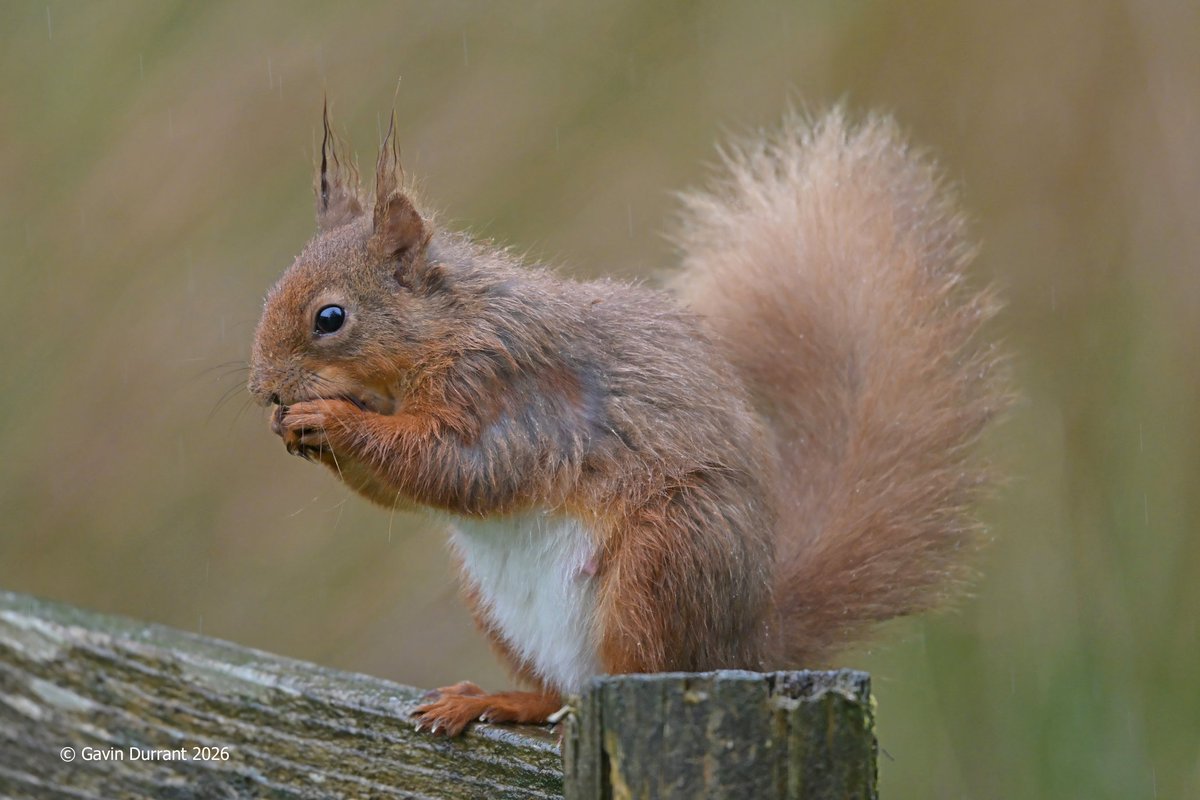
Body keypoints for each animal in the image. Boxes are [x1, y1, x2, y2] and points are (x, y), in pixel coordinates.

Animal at [248, 104, 1007, 737]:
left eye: (329, 318)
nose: (262, 390)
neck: (448, 325)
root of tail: (744, 647)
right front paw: (296, 428)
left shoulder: (508, 394)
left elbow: (460, 466)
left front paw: (329, 418)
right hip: (502, 608)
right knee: (557, 689)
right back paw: (500, 701)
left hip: (661, 564)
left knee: (635, 669)